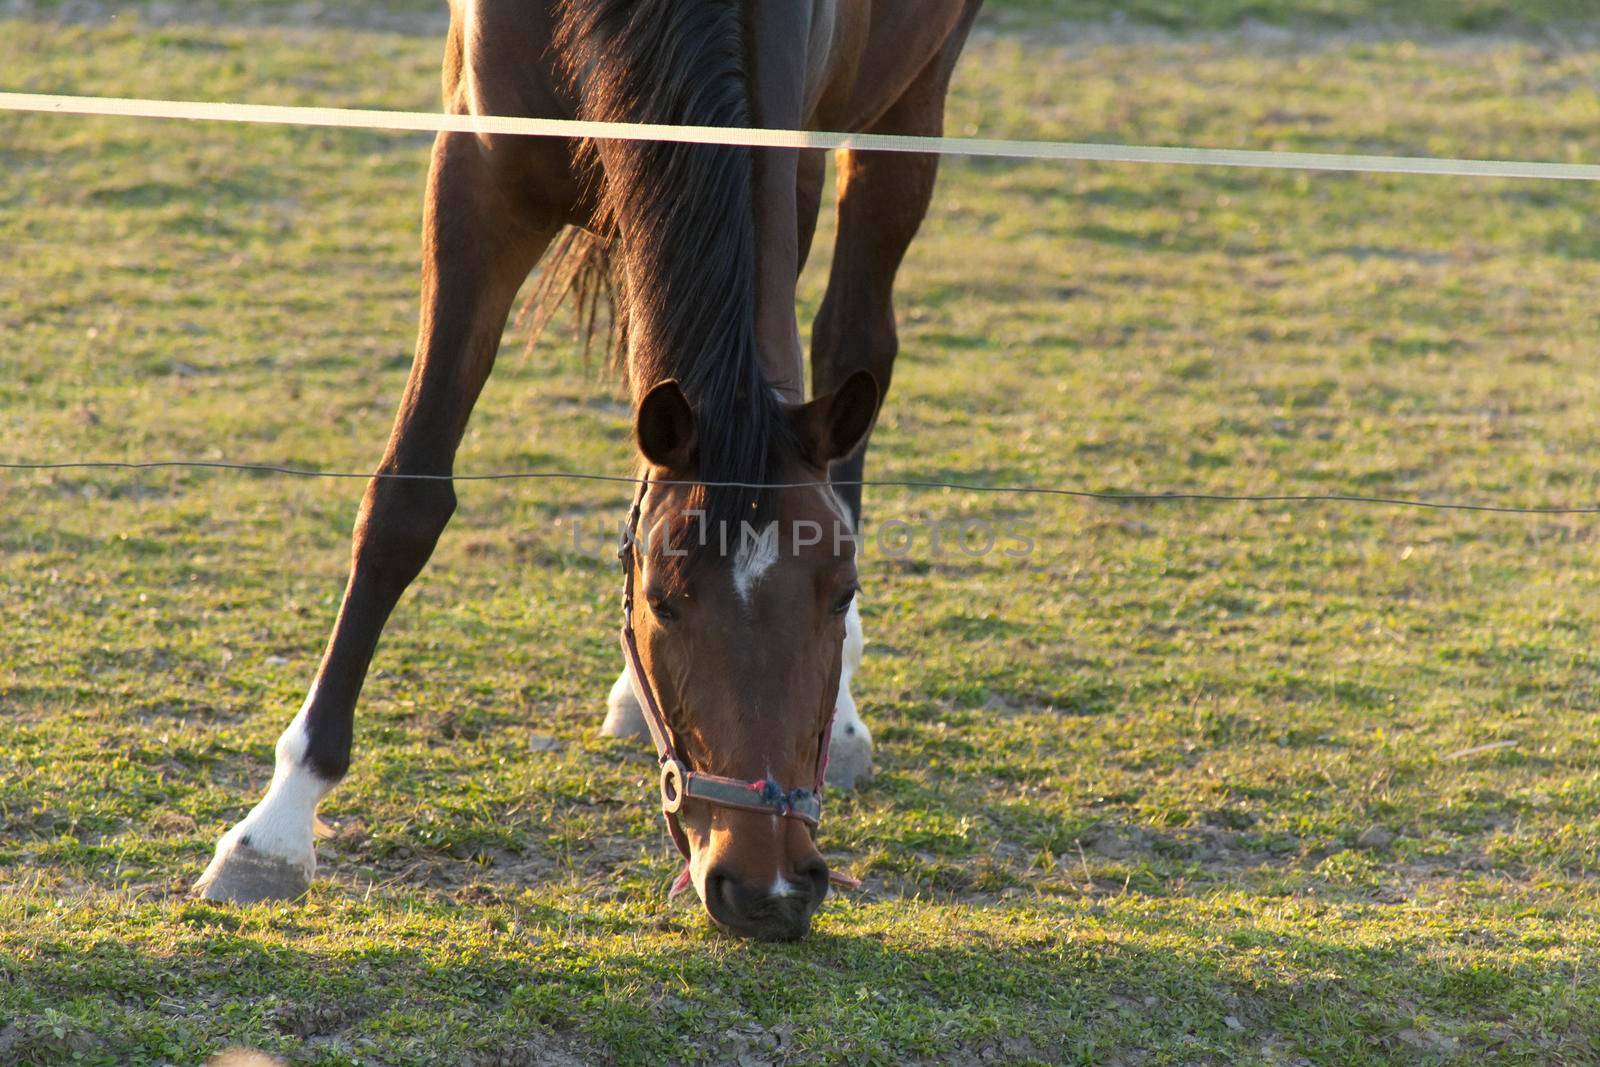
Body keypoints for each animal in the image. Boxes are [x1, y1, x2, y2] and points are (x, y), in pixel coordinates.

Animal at [195, 0, 979, 940]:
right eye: (663, 601)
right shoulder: (474, 177)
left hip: (915, 97)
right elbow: (405, 499)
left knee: (855, 339)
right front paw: (274, 828)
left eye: (842, 592)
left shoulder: (785, 169)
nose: (770, 889)